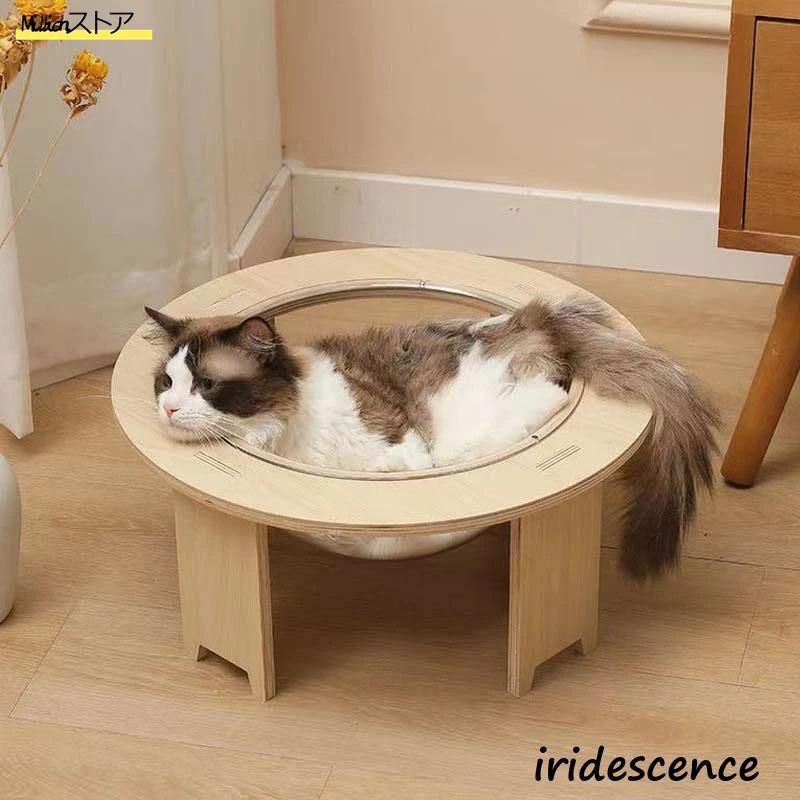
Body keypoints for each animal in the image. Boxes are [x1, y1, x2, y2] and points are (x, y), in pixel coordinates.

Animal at [145, 296, 719, 579]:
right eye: (166, 382)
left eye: (207, 385)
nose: (168, 409)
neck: (285, 430)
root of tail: (535, 318)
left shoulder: (401, 446)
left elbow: (393, 506)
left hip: (462, 430)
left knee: (543, 399)